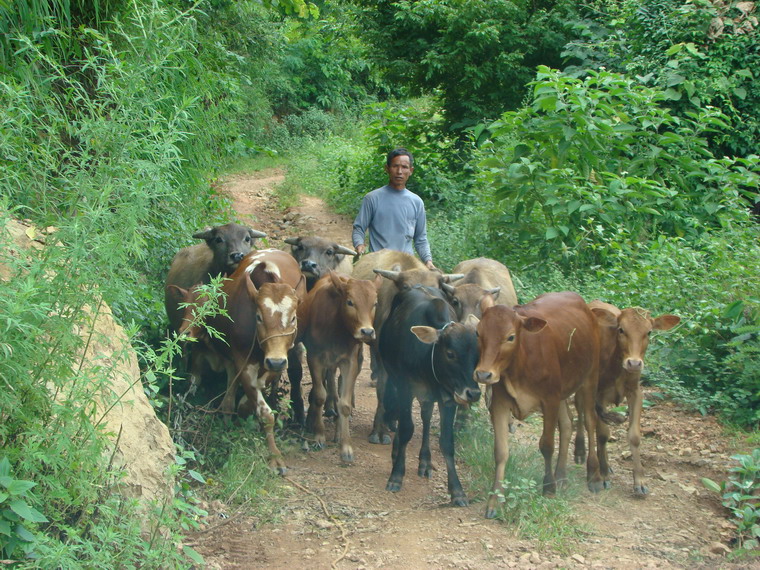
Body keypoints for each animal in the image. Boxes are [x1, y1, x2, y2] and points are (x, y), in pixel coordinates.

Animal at [296, 270, 380, 462]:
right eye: (350, 302)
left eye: (375, 303)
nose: (367, 332)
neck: (335, 327)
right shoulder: (314, 358)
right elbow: (320, 396)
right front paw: (319, 436)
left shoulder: (350, 362)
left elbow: (345, 403)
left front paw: (346, 447)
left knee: (337, 387)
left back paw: (337, 430)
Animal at [380, 286, 480, 504]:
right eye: (450, 354)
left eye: (478, 356)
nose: (473, 393)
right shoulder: (405, 388)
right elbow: (407, 429)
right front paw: (396, 476)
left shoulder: (449, 399)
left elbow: (447, 442)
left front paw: (457, 491)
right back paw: (396, 451)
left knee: (425, 418)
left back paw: (425, 462)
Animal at [472, 290, 608, 516]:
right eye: (478, 333)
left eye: (510, 336)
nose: (483, 374)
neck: (519, 365)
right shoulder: (499, 404)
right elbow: (500, 451)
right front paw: (494, 500)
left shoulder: (549, 400)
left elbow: (546, 445)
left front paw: (549, 488)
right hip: (563, 391)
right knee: (568, 424)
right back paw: (561, 475)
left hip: (590, 376)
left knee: (590, 421)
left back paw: (594, 476)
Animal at [572, 302, 680, 492]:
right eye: (621, 330)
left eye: (649, 332)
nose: (634, 363)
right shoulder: (597, 393)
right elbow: (602, 433)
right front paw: (601, 473)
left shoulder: (635, 392)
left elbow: (634, 436)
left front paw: (640, 481)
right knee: (581, 411)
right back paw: (582, 453)